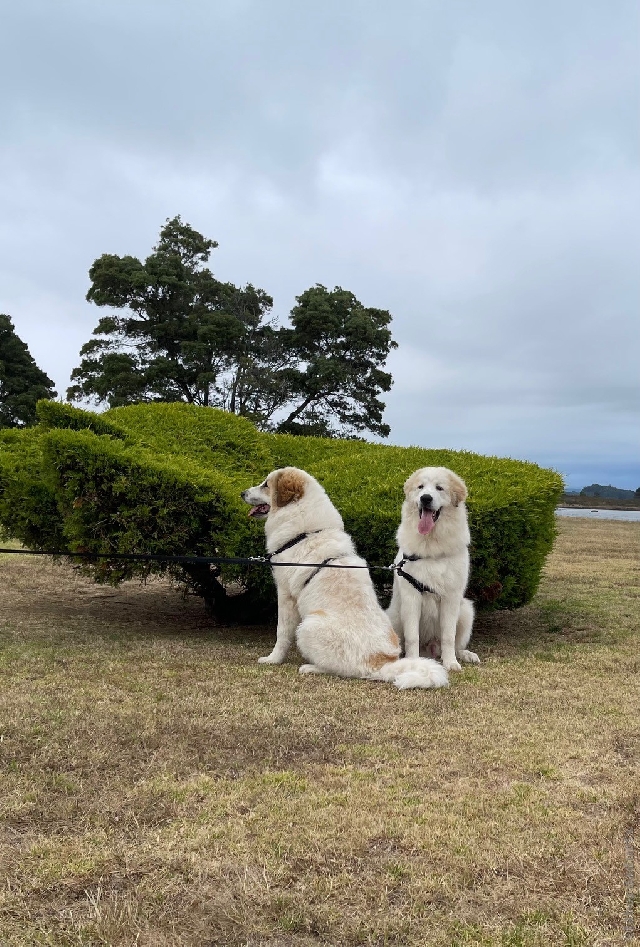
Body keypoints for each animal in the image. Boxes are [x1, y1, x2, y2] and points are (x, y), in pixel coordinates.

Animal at [242, 470, 448, 692]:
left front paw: (273, 659)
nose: (242, 493)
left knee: (340, 670)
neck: (304, 532)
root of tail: (380, 663)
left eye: (265, 485)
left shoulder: (285, 595)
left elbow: (281, 633)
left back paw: (311, 667)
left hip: (308, 625)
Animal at [384, 466, 480, 672]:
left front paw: (450, 662)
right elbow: (412, 637)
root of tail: (429, 649)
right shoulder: (412, 597)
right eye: (421, 487)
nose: (425, 498)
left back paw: (465, 655)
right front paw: (413, 662)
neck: (431, 546)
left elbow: (448, 636)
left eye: (439, 488)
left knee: (456, 644)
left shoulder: (451, 598)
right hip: (393, 616)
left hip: (466, 610)